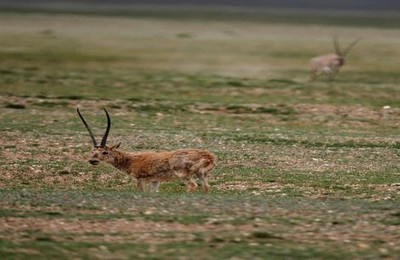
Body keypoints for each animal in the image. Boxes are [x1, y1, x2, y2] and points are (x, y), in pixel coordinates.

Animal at [76, 107, 217, 193]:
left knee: (193, 186)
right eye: (93, 151)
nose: (93, 160)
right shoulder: (155, 181)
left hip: (184, 175)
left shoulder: (140, 180)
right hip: (201, 175)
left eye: (105, 152)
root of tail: (208, 156)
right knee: (206, 187)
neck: (131, 160)